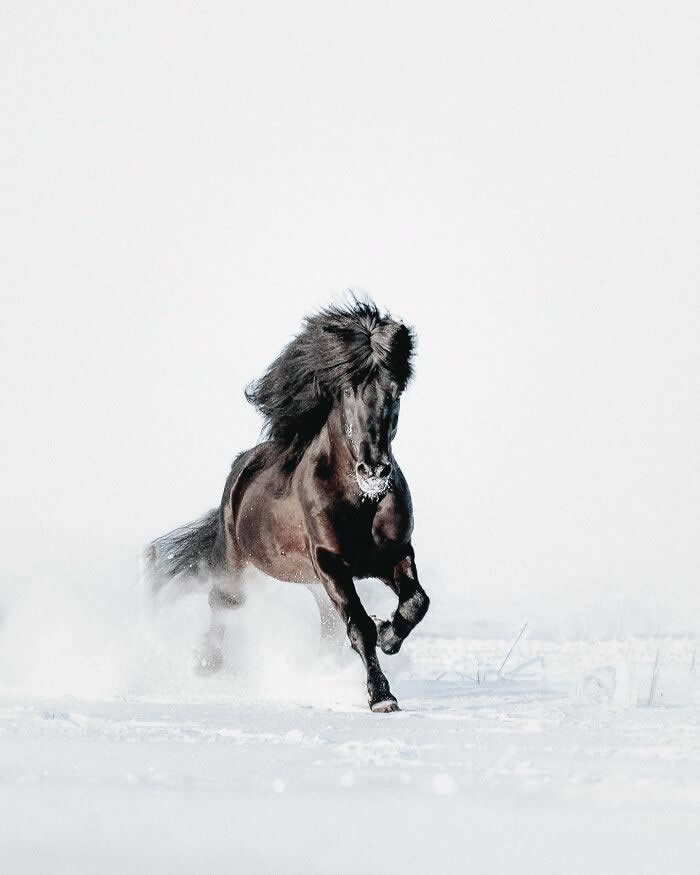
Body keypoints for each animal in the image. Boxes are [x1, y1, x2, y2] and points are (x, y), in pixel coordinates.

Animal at [144, 300, 430, 712]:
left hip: (311, 579)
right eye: (348, 392)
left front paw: (388, 633)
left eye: (395, 392)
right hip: (236, 562)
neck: (360, 502)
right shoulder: (330, 562)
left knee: (327, 623)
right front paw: (382, 696)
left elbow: (416, 602)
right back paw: (207, 667)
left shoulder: (392, 554)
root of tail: (241, 465)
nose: (374, 470)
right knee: (224, 603)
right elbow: (359, 626)